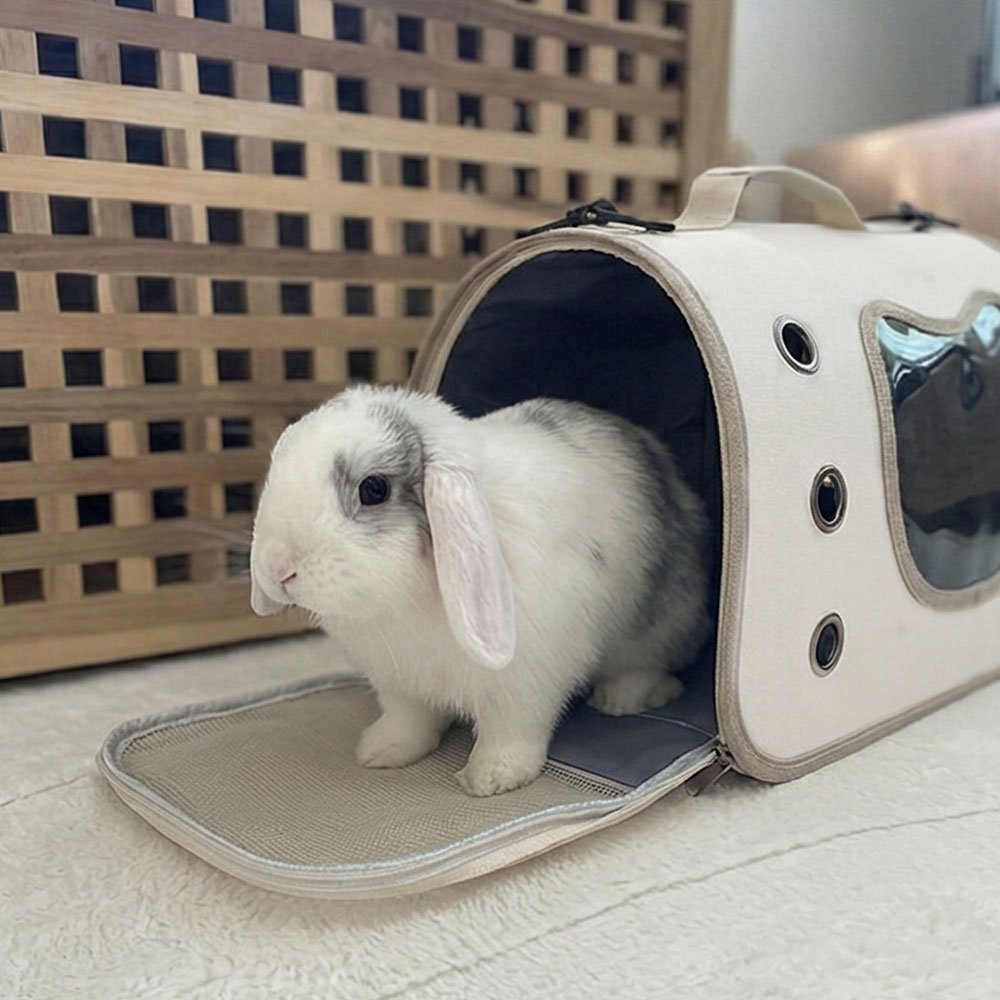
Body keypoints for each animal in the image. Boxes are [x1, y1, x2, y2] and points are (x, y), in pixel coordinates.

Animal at [250, 385, 711, 796]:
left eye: (374, 489)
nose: (279, 571)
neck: (403, 600)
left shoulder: (526, 683)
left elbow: (511, 731)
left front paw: (491, 779)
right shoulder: (399, 685)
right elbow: (409, 721)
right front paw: (381, 752)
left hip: (658, 624)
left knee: (653, 667)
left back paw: (620, 700)